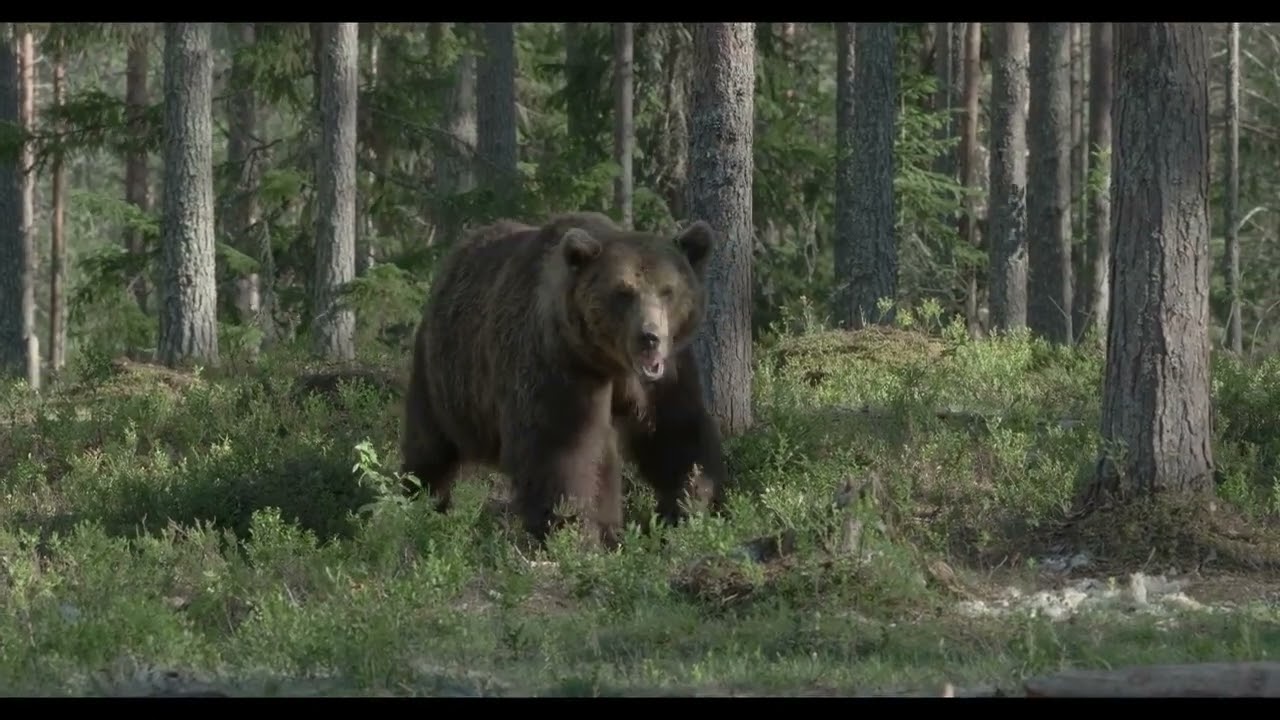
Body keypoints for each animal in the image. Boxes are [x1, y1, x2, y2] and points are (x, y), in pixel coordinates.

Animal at [399, 211, 730, 549]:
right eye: (623, 292)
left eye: (668, 290)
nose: (649, 338)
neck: (608, 360)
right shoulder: (559, 367)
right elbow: (560, 449)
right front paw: (572, 531)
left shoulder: (664, 376)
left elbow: (676, 435)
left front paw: (692, 507)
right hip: (446, 376)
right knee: (429, 448)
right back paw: (419, 504)